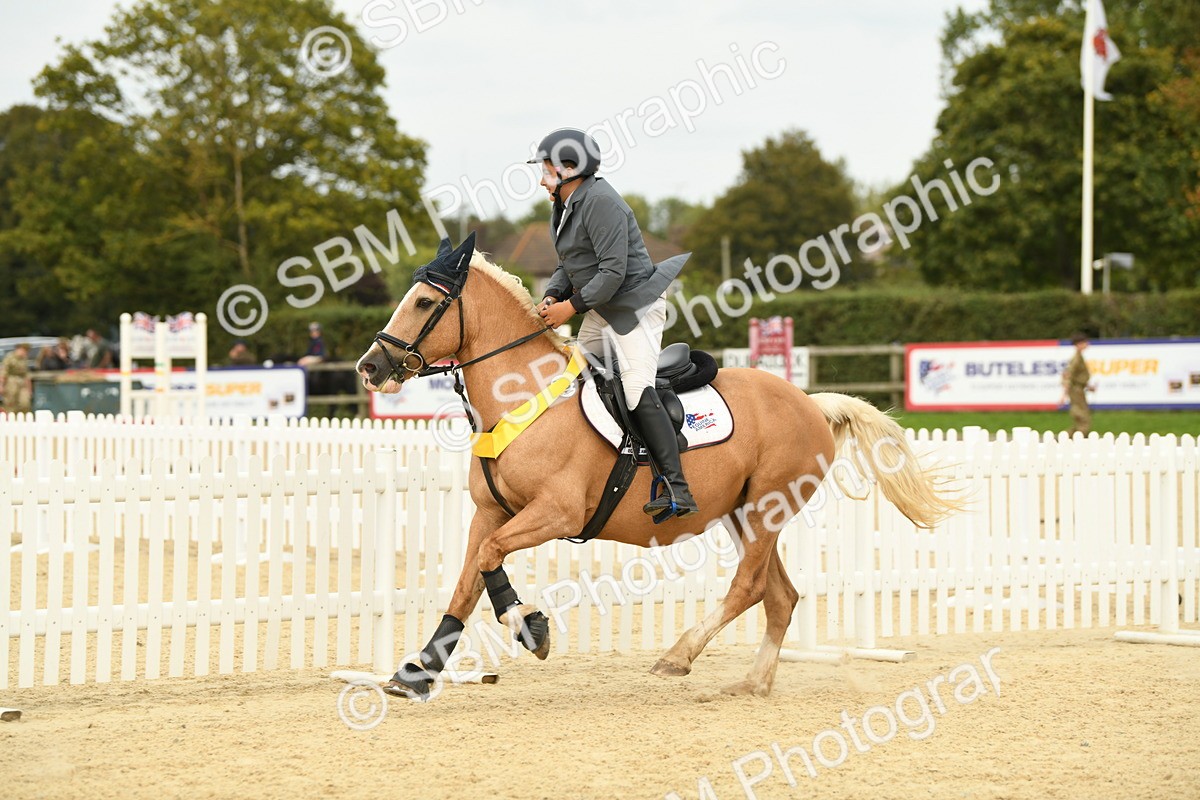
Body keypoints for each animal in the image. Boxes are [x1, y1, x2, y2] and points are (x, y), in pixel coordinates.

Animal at [355, 236, 961, 698]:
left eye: (422, 303)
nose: (370, 366)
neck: (521, 397)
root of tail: (812, 403)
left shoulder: (556, 512)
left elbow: (488, 561)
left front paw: (530, 626)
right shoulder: (489, 513)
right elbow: (467, 581)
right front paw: (417, 671)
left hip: (766, 509)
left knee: (748, 587)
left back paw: (678, 656)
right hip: (744, 514)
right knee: (779, 596)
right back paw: (753, 684)